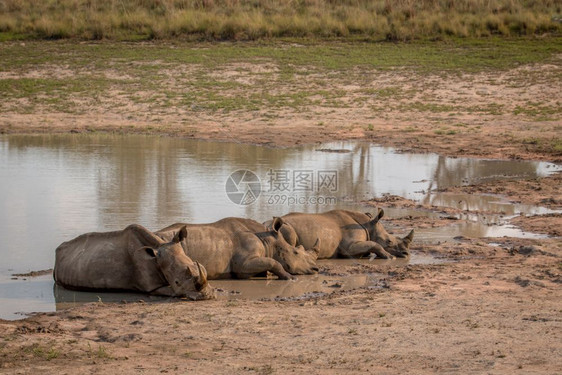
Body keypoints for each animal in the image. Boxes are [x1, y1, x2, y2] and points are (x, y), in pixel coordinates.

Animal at [155, 216, 318, 280]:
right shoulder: (243, 264)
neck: (268, 241)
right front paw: (290, 278)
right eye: (296, 252)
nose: (316, 269)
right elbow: (274, 262)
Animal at [264, 210, 414, 260]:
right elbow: (375, 244)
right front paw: (390, 257)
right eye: (389, 241)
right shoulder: (348, 247)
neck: (369, 225)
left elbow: (371, 245)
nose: (406, 254)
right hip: (284, 227)